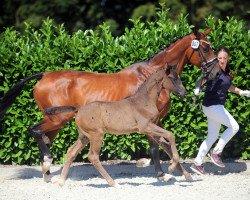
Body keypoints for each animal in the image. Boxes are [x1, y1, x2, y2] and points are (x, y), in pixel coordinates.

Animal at [44, 66, 186, 187]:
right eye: (173, 78)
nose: (184, 93)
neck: (144, 101)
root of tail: (78, 110)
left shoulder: (151, 128)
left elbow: (164, 142)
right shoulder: (145, 126)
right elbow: (170, 135)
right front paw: (171, 167)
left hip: (84, 136)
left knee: (71, 152)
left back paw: (61, 182)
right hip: (96, 135)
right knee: (93, 157)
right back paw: (113, 183)